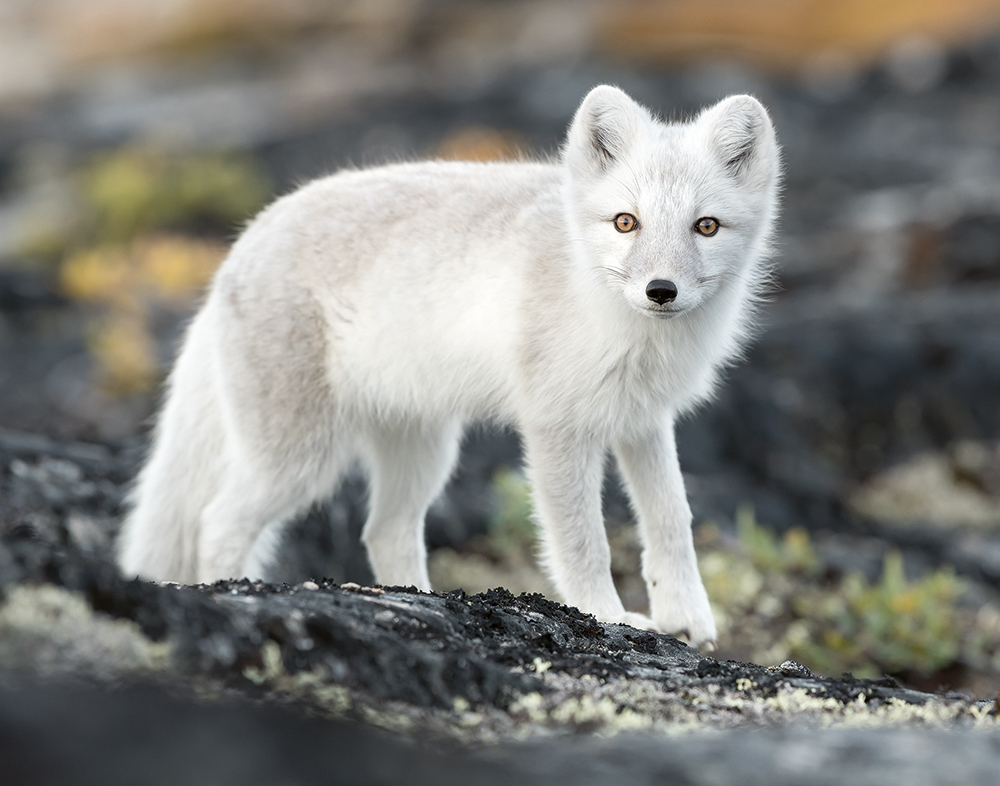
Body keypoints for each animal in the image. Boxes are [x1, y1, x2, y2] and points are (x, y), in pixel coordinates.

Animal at [117, 84, 780, 644]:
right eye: (626, 222)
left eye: (706, 226)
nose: (660, 291)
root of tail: (239, 246)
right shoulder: (557, 427)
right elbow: (582, 539)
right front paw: (607, 616)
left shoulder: (643, 419)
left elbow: (672, 519)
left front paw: (687, 619)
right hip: (300, 458)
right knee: (218, 520)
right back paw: (226, 591)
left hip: (423, 451)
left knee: (383, 530)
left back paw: (413, 599)